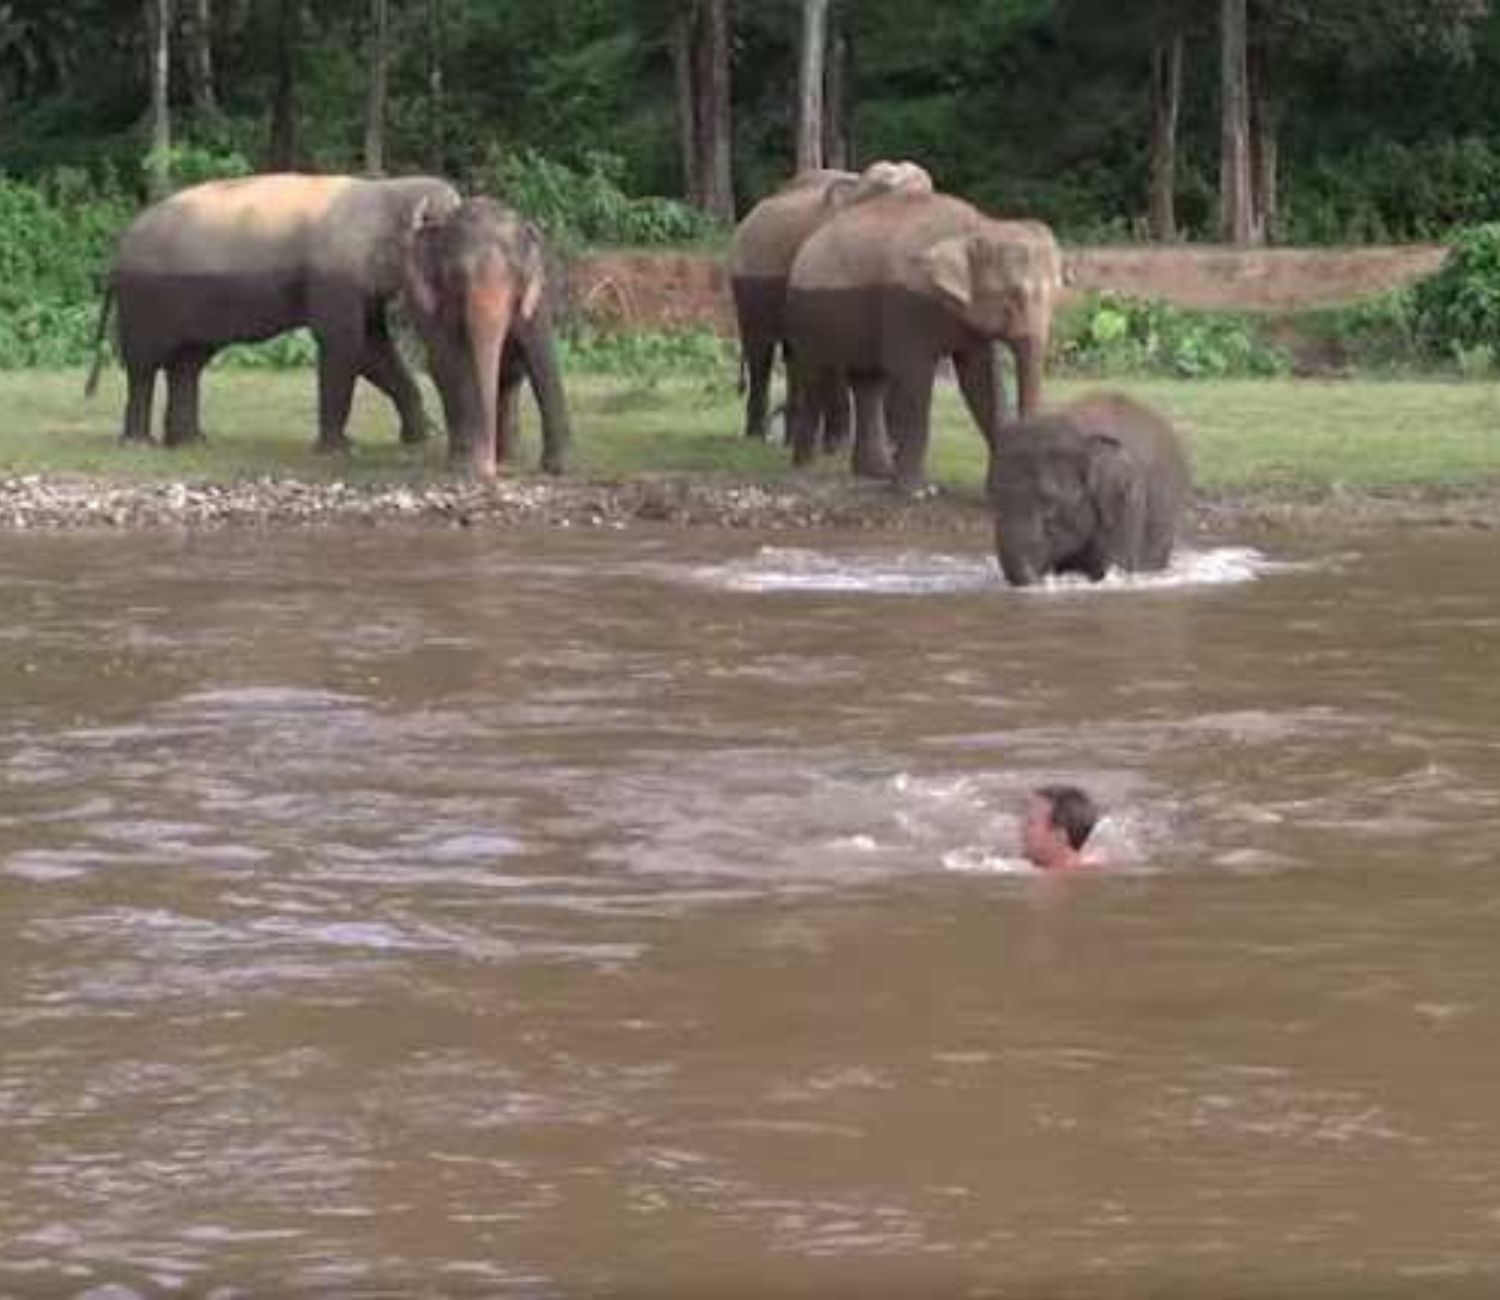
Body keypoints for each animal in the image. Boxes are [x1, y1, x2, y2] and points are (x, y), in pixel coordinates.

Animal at [87, 168, 459, 452]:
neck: (392, 192)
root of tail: (118, 251)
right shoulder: (333, 277)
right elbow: (343, 344)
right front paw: (341, 449)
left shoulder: (361, 285)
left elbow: (374, 348)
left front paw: (422, 440)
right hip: (144, 299)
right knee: (144, 365)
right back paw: (140, 444)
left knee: (187, 364)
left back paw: (191, 443)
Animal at [402, 200, 570, 485]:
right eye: (457, 276)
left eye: (517, 275)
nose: (488, 471)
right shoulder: (436, 308)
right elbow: (451, 361)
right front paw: (467, 466)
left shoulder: (538, 297)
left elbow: (542, 359)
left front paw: (558, 468)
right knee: (443, 373)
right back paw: (467, 458)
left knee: (510, 379)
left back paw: (508, 458)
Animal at [723, 158, 924, 446]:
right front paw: (839, 446)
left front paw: (888, 447)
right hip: (750, 279)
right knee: (761, 350)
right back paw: (756, 437)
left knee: (793, 354)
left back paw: (791, 439)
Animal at [780, 193, 1062, 491]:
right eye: (1014, 295)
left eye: (1058, 294)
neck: (978, 226)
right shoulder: (905, 303)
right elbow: (914, 379)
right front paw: (916, 490)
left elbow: (981, 380)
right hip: (806, 314)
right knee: (817, 376)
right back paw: (804, 468)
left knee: (869, 383)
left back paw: (876, 472)